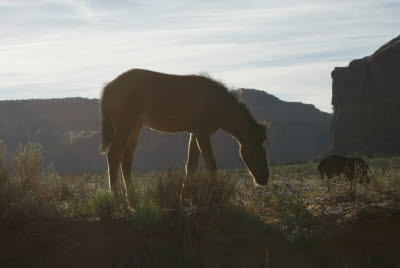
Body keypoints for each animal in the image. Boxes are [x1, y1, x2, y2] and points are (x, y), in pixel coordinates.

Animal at [100, 68, 270, 207]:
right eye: (256, 148)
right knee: (114, 155)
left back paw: (133, 203)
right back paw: (116, 201)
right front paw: (215, 196)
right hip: (125, 126)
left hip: (135, 127)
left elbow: (191, 165)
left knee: (126, 160)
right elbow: (210, 163)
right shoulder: (202, 133)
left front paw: (184, 198)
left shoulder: (195, 134)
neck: (215, 101)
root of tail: (109, 86)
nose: (264, 178)